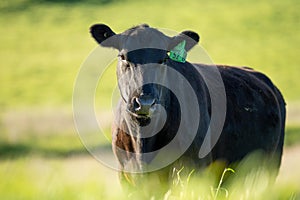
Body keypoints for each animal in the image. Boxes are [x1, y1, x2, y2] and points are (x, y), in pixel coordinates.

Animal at [89, 23, 286, 192]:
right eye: (123, 57)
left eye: (164, 58)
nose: (145, 102)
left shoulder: (195, 172)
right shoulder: (127, 177)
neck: (143, 142)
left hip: (270, 167)